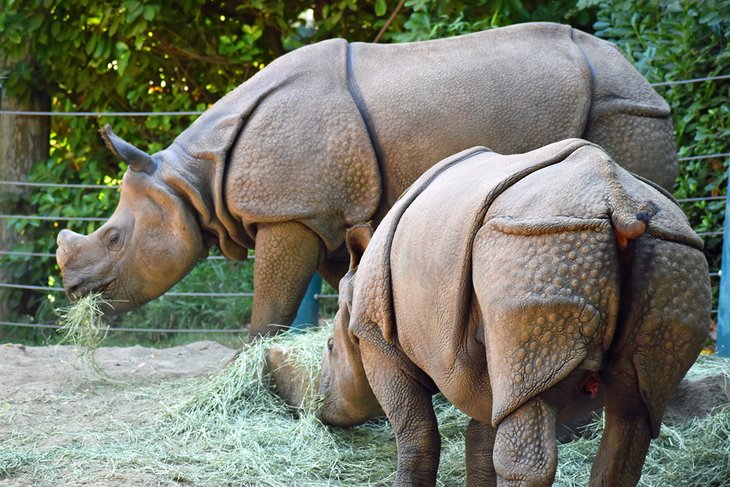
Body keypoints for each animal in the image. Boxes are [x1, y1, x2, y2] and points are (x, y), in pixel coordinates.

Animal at [57, 21, 676, 336]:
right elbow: (347, 286)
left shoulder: (292, 213)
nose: (71, 291)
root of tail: (639, 74)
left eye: (114, 237)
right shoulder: (330, 216)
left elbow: (272, 303)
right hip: (621, 104)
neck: (193, 182)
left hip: (624, 111)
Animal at [318, 139, 704, 486]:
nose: (321, 408)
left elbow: (416, 436)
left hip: (535, 246)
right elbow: (482, 442)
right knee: (632, 410)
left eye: (329, 347)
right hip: (668, 252)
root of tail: (618, 199)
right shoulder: (490, 367)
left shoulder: (377, 339)